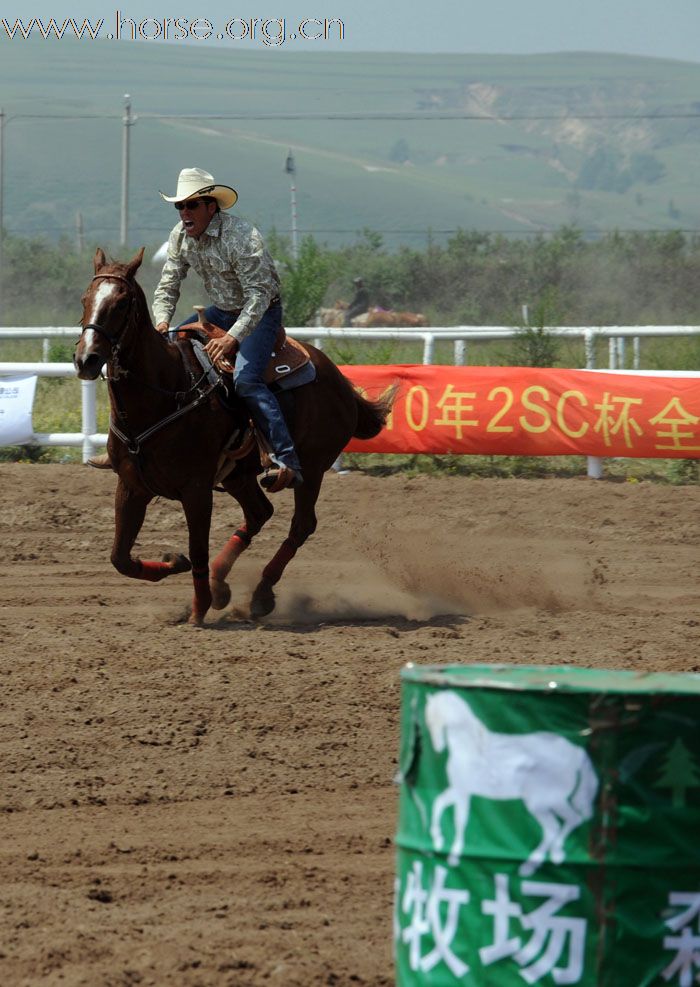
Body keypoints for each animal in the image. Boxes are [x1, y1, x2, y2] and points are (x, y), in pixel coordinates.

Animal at [75, 251, 394, 628]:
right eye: (86, 299)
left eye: (122, 303)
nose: (86, 359)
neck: (167, 390)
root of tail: (340, 382)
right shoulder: (131, 486)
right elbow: (120, 558)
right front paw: (174, 563)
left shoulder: (197, 489)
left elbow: (198, 549)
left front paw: (197, 610)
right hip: (238, 475)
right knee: (259, 514)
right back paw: (220, 585)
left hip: (312, 469)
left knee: (301, 525)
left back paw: (260, 595)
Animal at [424, 692, 600, 876]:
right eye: (428, 720)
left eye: (438, 718)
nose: (438, 747)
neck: (469, 750)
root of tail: (576, 754)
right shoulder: (459, 790)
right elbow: (439, 804)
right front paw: (438, 841)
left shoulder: (462, 792)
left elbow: (459, 819)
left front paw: (453, 855)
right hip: (555, 802)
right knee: (573, 820)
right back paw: (556, 854)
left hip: (540, 804)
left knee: (553, 828)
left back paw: (529, 866)